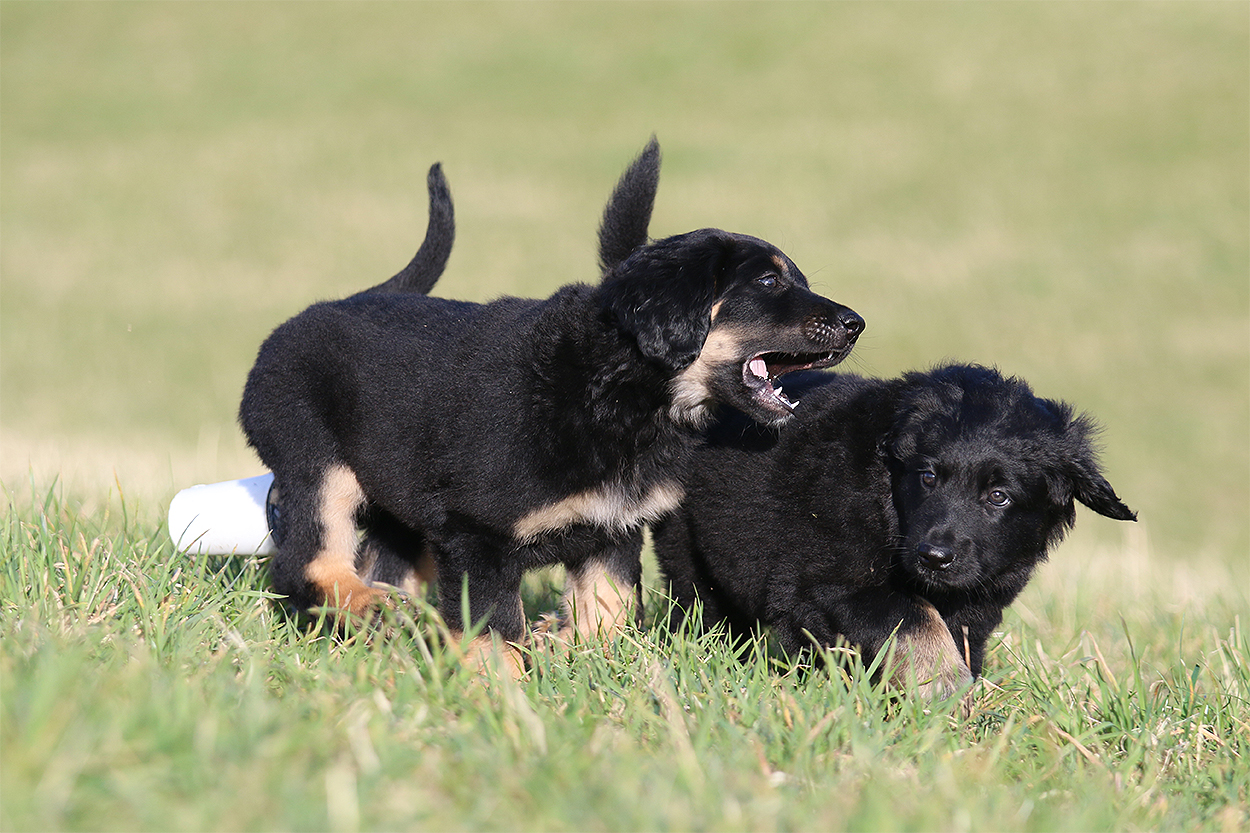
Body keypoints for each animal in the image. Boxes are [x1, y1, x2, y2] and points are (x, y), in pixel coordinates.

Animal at [239, 139, 865, 672]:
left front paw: (560, 643)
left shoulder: (612, 528)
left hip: (399, 504)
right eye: (767, 282)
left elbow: (611, 613)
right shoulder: (476, 534)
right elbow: (494, 631)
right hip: (318, 464)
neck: (616, 391)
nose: (856, 324)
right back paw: (378, 607)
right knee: (308, 563)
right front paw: (503, 691)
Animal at [651, 363, 1136, 697]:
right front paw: (943, 687)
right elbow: (915, 618)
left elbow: (956, 636)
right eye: (928, 477)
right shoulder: (829, 580)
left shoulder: (979, 601)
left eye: (998, 496)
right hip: (689, 554)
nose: (933, 557)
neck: (887, 495)